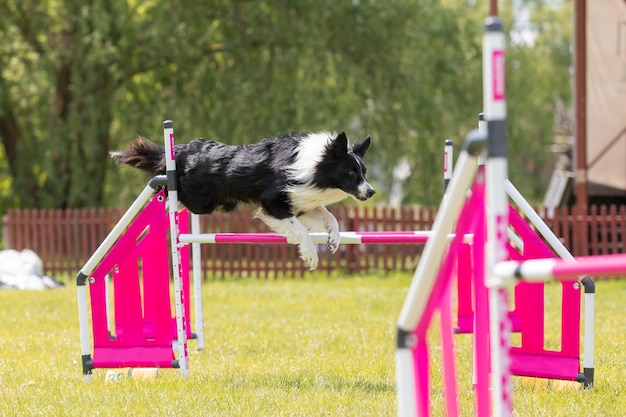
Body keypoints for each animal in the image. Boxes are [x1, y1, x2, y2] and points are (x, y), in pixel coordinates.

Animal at [111, 131, 372, 270]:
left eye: (364, 171)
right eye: (350, 172)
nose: (371, 192)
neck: (314, 164)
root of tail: (179, 151)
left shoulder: (300, 200)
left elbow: (331, 217)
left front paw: (334, 240)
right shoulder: (272, 202)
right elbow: (299, 230)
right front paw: (310, 255)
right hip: (200, 200)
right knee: (168, 194)